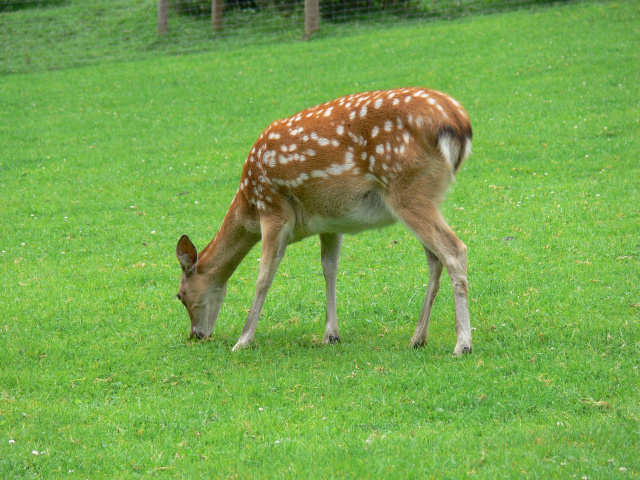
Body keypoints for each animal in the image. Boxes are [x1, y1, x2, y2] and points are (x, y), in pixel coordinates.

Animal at [178, 88, 472, 354]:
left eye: (180, 295)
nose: (196, 335)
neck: (248, 205)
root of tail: (460, 123)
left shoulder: (273, 211)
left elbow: (264, 276)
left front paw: (242, 341)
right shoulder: (331, 222)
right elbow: (329, 268)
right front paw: (331, 334)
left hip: (406, 188)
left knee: (454, 249)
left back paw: (462, 344)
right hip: (427, 196)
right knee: (435, 258)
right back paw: (418, 339)